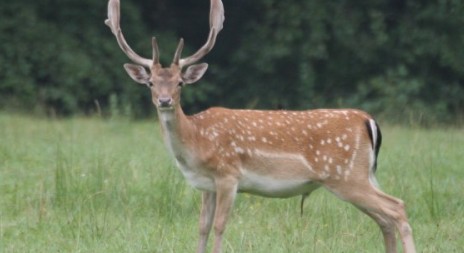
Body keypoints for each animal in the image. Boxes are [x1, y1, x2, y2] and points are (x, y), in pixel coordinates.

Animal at [105, 0, 416, 252]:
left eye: (180, 82)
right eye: (151, 83)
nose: (165, 100)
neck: (196, 142)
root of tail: (368, 121)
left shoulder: (228, 175)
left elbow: (219, 226)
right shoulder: (206, 185)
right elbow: (202, 227)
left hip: (346, 175)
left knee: (397, 207)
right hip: (361, 175)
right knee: (385, 219)